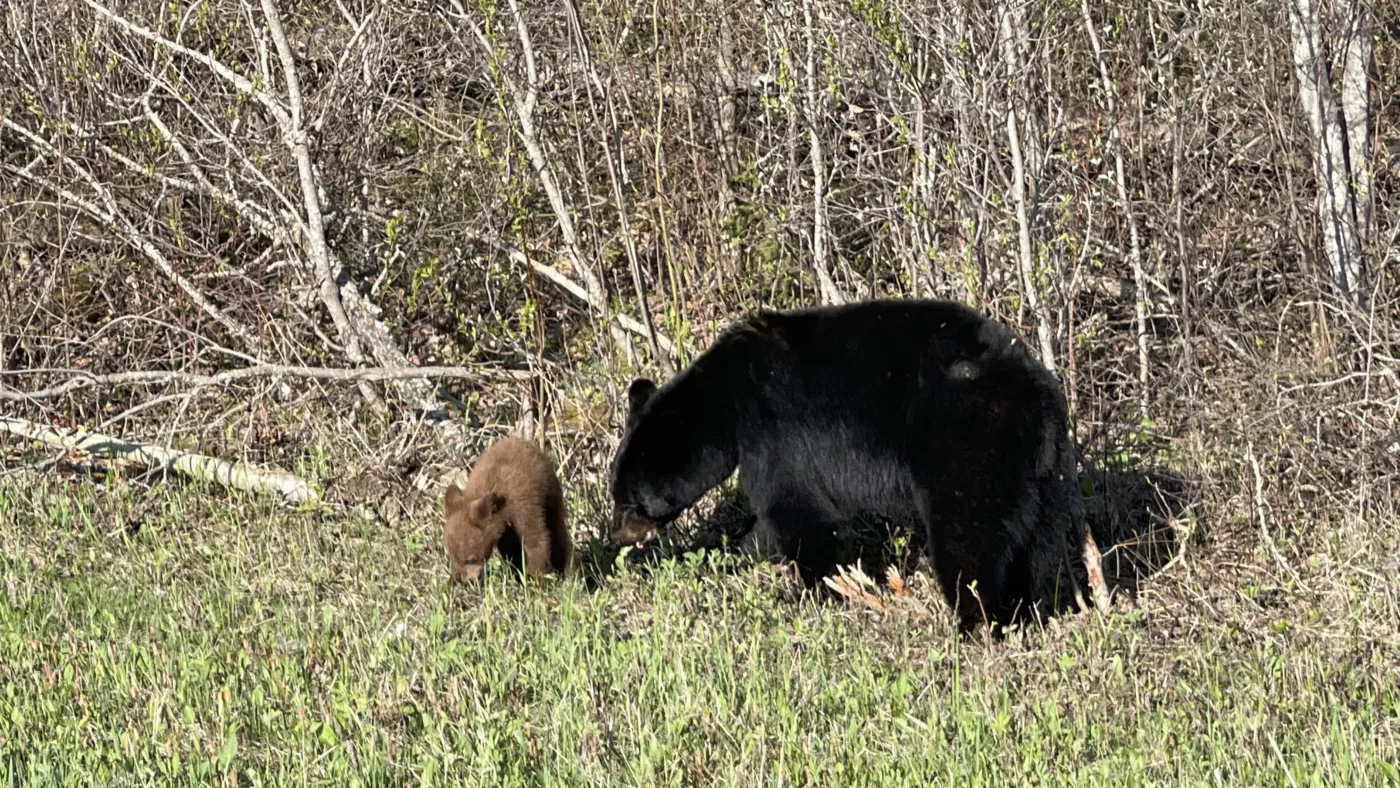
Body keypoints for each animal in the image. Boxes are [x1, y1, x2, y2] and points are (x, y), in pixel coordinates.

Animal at [610, 298, 1080, 635]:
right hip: (1045, 471)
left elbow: (797, 512)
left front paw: (811, 591)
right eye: (616, 495)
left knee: (969, 535)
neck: (724, 397)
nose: (615, 535)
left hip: (967, 446)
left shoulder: (774, 430)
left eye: (629, 501)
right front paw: (731, 560)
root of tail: (1033, 393)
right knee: (1037, 546)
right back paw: (1027, 613)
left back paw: (972, 622)